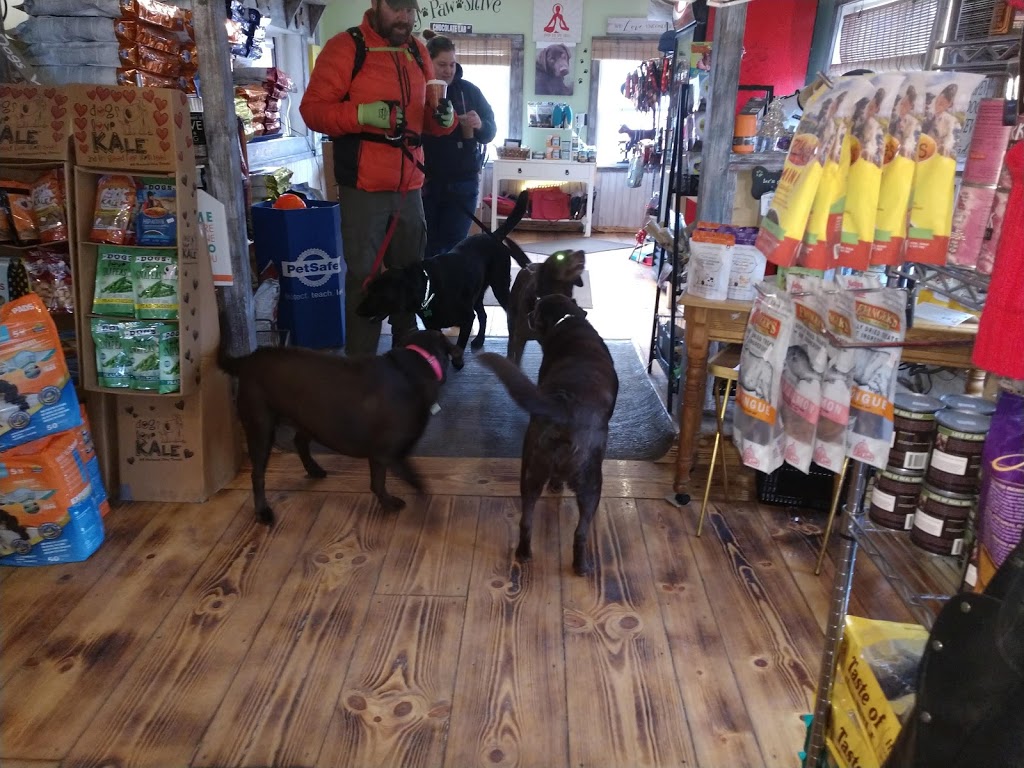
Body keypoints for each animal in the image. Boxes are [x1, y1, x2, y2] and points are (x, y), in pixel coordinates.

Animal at [218, 329, 459, 524]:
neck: (413, 366)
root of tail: (247, 359)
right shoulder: (388, 454)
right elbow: (405, 482)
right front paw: (401, 505)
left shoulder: (386, 456)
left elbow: (385, 482)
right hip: (261, 429)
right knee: (257, 475)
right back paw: (263, 511)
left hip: (309, 419)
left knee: (299, 441)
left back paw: (313, 469)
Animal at [357, 191, 531, 364]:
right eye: (368, 289)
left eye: (378, 294)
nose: (358, 310)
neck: (429, 287)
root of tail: (492, 235)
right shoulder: (433, 325)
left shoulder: (467, 318)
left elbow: (459, 346)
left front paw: (457, 363)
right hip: (477, 294)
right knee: (483, 314)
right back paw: (479, 340)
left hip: (500, 288)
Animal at [478, 294, 618, 576]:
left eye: (537, 308)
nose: (528, 311)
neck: (566, 320)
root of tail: (563, 406)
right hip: (592, 483)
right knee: (580, 532)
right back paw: (582, 566)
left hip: (531, 471)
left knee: (526, 521)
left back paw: (525, 554)